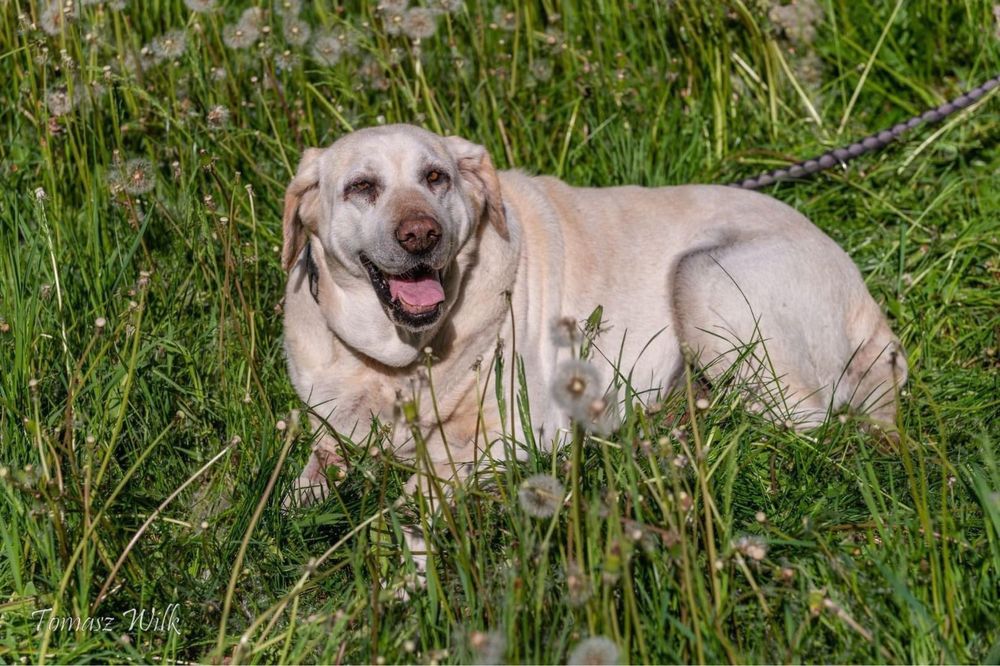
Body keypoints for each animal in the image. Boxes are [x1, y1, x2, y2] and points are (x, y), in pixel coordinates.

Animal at [280, 123, 908, 556]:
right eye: (361, 187)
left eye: (436, 177)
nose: (421, 235)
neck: (400, 361)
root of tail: (869, 307)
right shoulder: (332, 429)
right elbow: (296, 490)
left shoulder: (510, 430)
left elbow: (418, 491)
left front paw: (396, 563)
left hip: (702, 273)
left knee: (801, 422)